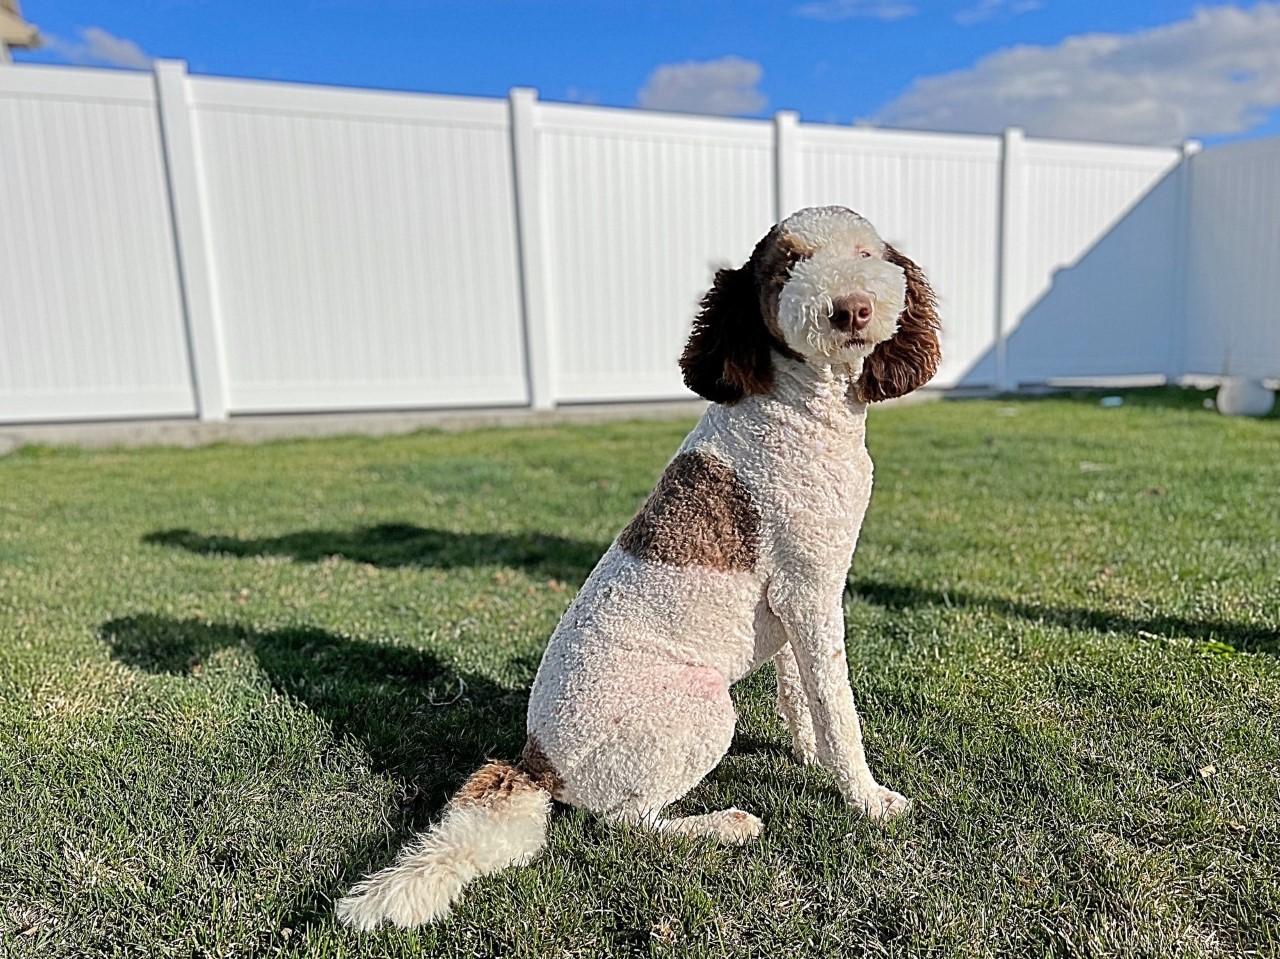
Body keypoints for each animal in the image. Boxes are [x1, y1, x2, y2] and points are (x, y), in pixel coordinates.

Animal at [337, 205, 942, 930]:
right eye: (787, 268)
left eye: (866, 253)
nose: (850, 308)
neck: (799, 406)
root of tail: (536, 765)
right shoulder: (811, 595)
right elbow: (840, 711)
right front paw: (869, 799)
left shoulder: (802, 599)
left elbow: (803, 696)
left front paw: (811, 755)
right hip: (701, 708)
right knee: (626, 822)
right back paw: (722, 825)